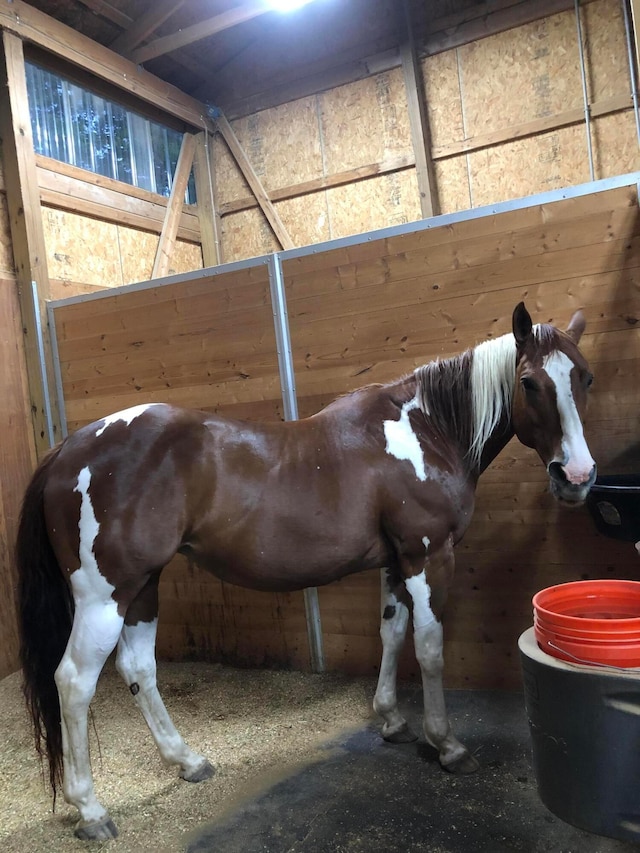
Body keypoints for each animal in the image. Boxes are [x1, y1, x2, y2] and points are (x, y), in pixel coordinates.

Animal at [16, 302, 596, 840]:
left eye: (585, 377)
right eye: (530, 382)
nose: (577, 476)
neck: (425, 431)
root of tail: (68, 449)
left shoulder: (396, 562)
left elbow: (392, 634)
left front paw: (391, 720)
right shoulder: (427, 556)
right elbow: (430, 649)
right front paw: (447, 744)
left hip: (142, 587)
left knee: (138, 668)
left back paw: (187, 761)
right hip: (104, 596)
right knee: (74, 682)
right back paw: (92, 810)